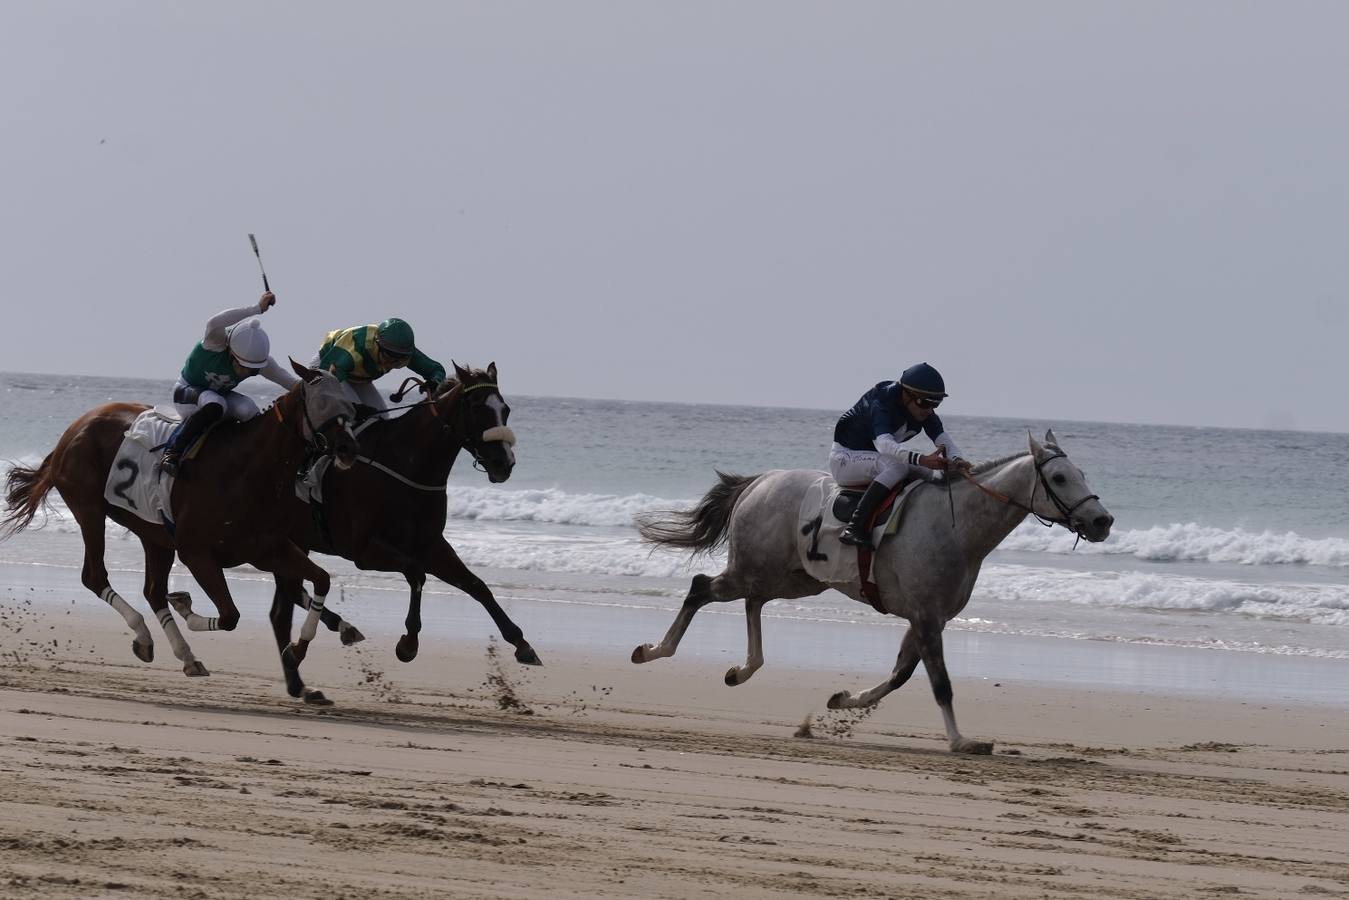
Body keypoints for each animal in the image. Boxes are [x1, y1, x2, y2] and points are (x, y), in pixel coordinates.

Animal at [0, 361, 358, 682]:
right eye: (323, 401)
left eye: (349, 403)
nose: (348, 448)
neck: (247, 469)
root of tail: (74, 429)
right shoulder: (196, 553)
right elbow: (230, 616)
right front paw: (186, 607)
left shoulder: (268, 549)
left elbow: (322, 579)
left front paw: (297, 649)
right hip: (89, 509)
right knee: (95, 576)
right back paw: (144, 635)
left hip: (152, 533)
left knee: (153, 591)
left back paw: (183, 655)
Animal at [256, 361, 536, 701]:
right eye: (475, 408)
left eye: (505, 409)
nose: (503, 463)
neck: (406, 464)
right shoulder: (364, 550)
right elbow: (416, 574)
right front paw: (408, 643)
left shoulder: (430, 545)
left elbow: (477, 586)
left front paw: (522, 644)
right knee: (288, 599)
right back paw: (321, 643)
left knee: (283, 605)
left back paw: (301, 678)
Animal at [636, 429, 1111, 755]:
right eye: (1059, 477)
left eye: (1081, 474)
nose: (1102, 521)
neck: (957, 527)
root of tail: (760, 481)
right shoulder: (925, 616)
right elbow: (941, 684)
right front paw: (961, 740)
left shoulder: (928, 618)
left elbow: (900, 675)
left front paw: (845, 699)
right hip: (756, 570)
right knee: (701, 589)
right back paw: (654, 650)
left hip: (792, 578)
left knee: (753, 602)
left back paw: (743, 669)